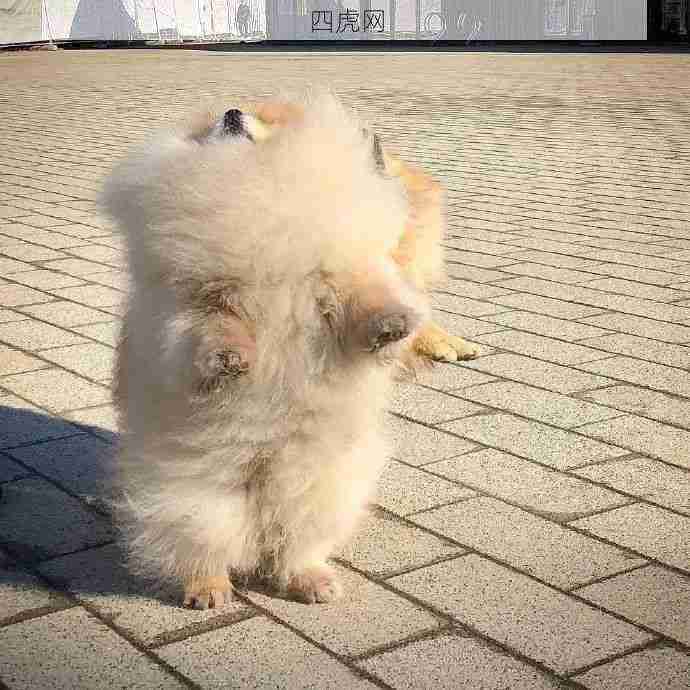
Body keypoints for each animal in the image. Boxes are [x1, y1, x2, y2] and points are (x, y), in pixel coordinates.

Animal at [102, 92, 478, 609]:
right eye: (213, 122)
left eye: (264, 119)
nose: (231, 113)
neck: (254, 186)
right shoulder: (197, 301)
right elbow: (214, 329)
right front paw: (229, 359)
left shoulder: (342, 277)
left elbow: (365, 302)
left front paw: (391, 327)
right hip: (193, 489)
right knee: (198, 539)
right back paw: (207, 588)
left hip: (321, 483)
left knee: (294, 541)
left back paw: (310, 579)